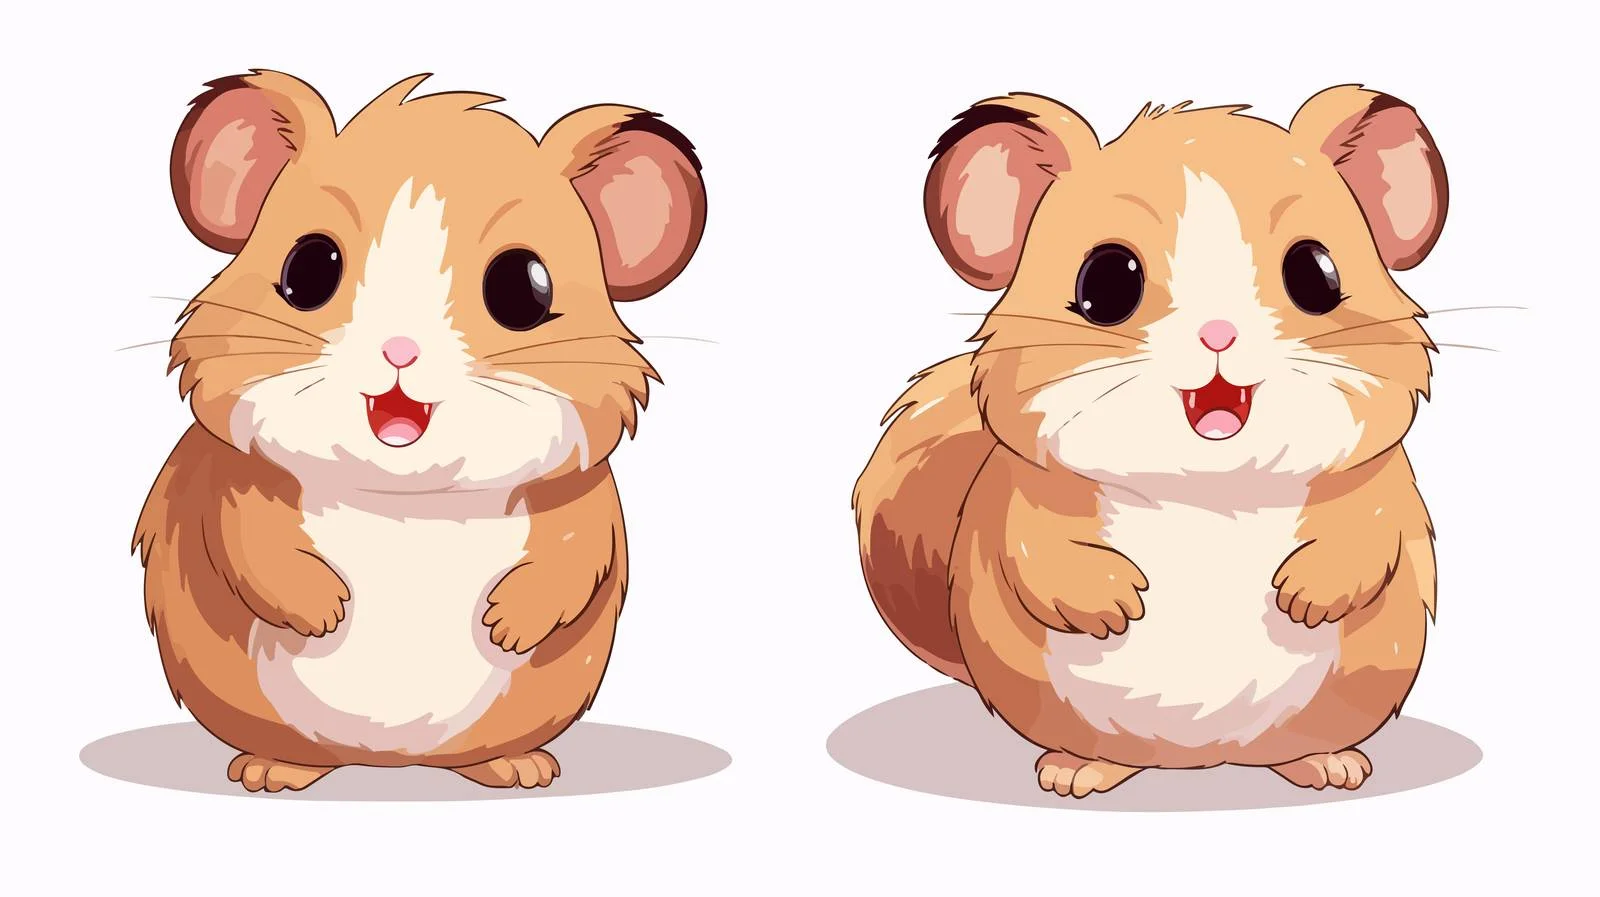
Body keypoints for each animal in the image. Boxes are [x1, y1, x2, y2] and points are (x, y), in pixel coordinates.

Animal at [133, 70, 706, 792]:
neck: (407, 496)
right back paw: (269, 771)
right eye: (308, 269)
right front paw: (326, 610)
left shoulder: (583, 497)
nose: (399, 350)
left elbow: (577, 555)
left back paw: (520, 768)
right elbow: (243, 539)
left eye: (524, 289)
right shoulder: (230, 477)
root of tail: (393, 761)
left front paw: (507, 625)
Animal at [855, 86, 1445, 797]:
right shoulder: (1019, 493)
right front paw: (1114, 605)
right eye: (1105, 283)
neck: (1210, 486)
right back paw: (1076, 772)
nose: (1219, 334)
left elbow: (1371, 531)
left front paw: (1305, 597)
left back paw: (1327, 764)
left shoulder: (1383, 481)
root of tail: (1200, 760)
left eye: (1316, 275)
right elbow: (1030, 546)